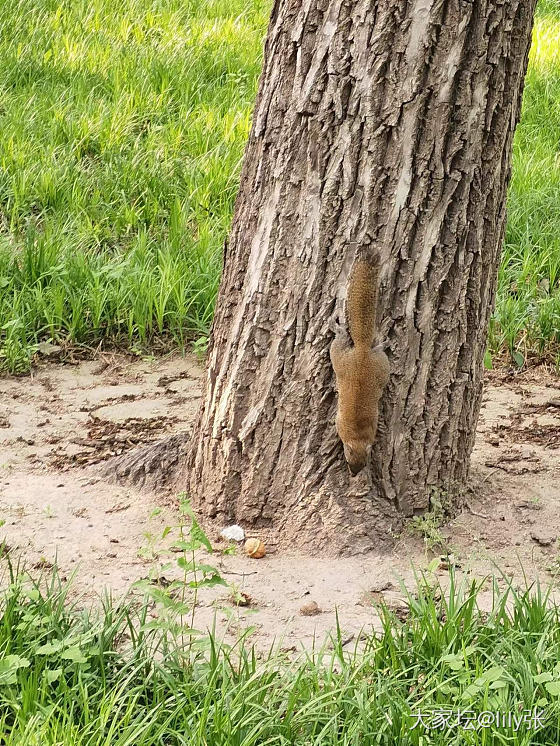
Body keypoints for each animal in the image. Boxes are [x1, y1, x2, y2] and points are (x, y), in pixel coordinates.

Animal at [328, 258, 390, 474]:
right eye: (348, 461)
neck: (357, 436)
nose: (354, 475)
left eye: (363, 464)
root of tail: (362, 352)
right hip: (374, 364)